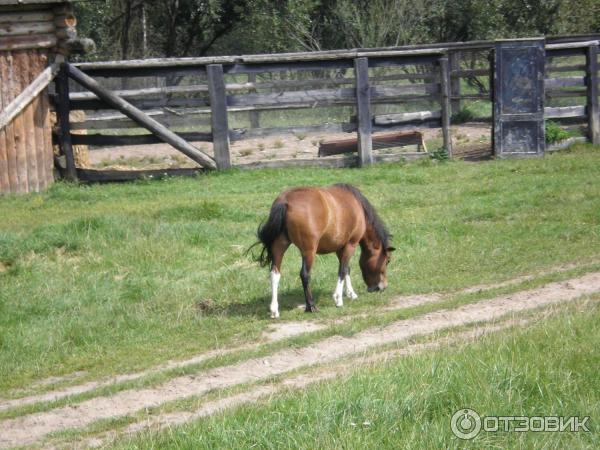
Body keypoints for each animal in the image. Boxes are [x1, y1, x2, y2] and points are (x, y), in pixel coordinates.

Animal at [252, 182, 394, 316]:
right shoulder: (350, 244)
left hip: (279, 246)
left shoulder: (340, 247)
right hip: (309, 250)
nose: (383, 287)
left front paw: (350, 293)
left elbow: (346, 269)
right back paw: (311, 306)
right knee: (305, 274)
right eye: (387, 261)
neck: (357, 206)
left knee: (275, 274)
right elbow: (342, 270)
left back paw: (274, 310)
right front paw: (338, 298)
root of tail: (285, 201)